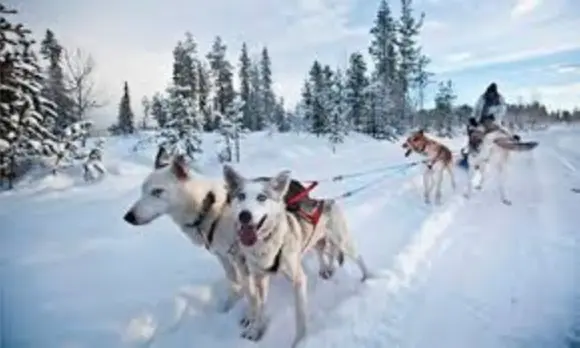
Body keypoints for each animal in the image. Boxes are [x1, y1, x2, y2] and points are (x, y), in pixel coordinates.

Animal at [121, 147, 250, 318]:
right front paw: (230, 304)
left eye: (157, 191)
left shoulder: (240, 257)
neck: (207, 208)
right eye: (142, 191)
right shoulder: (223, 256)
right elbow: (234, 282)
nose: (128, 217)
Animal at [224, 164, 370, 348]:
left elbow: (300, 317)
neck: (267, 245)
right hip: (318, 242)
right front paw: (255, 330)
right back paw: (327, 269)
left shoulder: (298, 280)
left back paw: (368, 279)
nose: (244, 215)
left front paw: (300, 342)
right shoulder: (260, 279)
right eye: (241, 196)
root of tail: (327, 201)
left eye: (262, 197)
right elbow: (260, 307)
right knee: (326, 254)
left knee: (359, 258)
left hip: (343, 242)